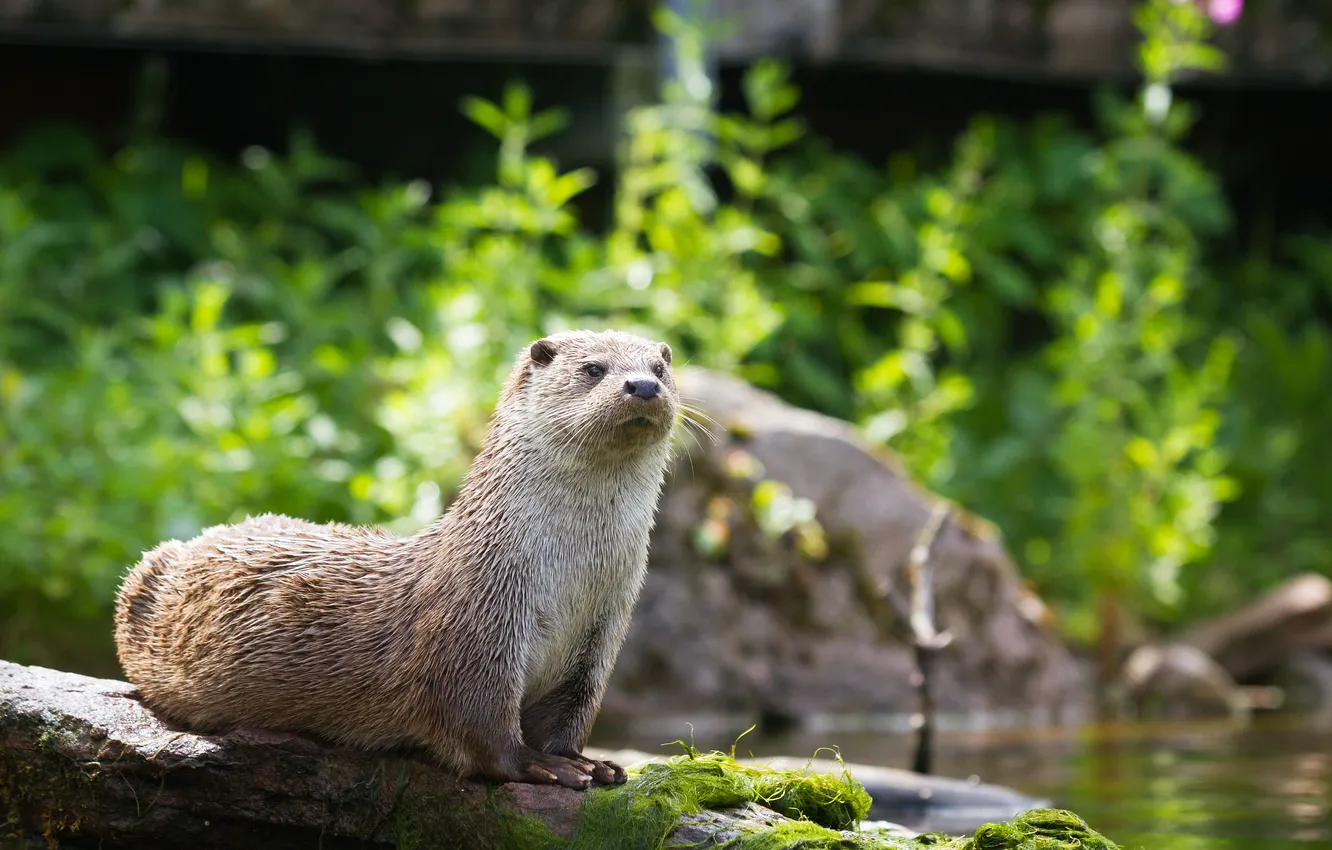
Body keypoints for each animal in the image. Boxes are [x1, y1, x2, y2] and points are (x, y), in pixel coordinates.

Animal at [110, 327, 681, 794]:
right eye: (593, 369)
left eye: (659, 368)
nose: (642, 387)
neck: (571, 579)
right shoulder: (477, 620)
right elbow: (480, 724)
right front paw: (542, 766)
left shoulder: (602, 635)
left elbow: (572, 712)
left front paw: (589, 762)